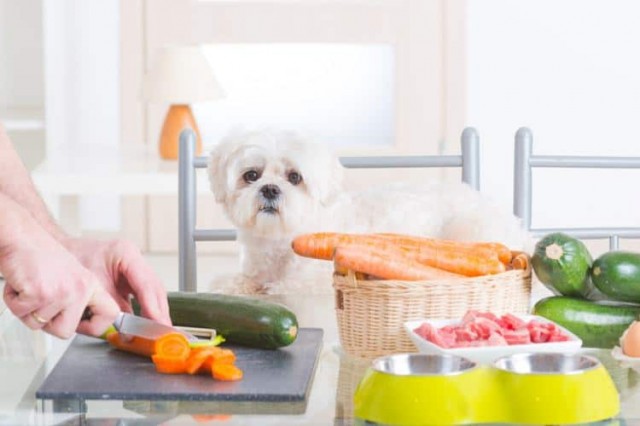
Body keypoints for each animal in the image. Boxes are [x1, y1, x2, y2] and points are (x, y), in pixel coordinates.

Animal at [208, 130, 528, 296]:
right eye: (251, 175)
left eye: (294, 177)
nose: (271, 189)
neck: (279, 240)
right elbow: (235, 283)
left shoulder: (306, 283)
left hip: (468, 232)